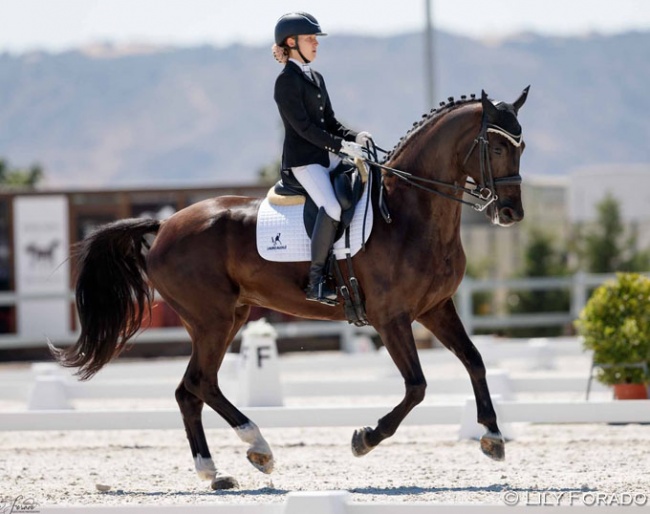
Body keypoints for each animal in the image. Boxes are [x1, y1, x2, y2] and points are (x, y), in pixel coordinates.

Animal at [50, 87, 528, 488]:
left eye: (521, 146)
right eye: (497, 146)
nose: (511, 213)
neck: (409, 213)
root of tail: (165, 225)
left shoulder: (436, 307)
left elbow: (475, 360)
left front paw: (492, 436)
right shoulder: (391, 318)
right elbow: (417, 386)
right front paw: (365, 437)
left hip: (228, 318)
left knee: (189, 389)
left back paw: (215, 471)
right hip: (212, 320)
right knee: (201, 383)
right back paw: (257, 447)